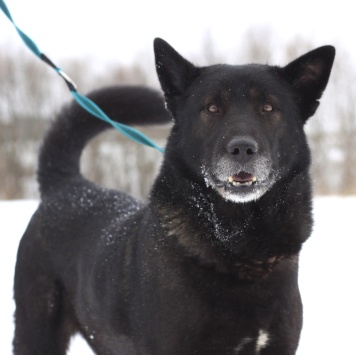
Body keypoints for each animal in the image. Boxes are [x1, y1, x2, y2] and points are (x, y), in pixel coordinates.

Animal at [13, 39, 336, 355]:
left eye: (268, 107)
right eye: (212, 108)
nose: (242, 149)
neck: (237, 243)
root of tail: (66, 184)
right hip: (36, 334)